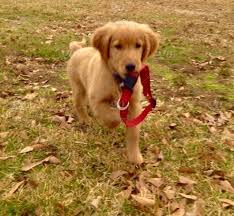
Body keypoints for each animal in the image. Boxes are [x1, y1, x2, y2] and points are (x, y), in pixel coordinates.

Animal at [66, 21, 160, 165]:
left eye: (138, 45)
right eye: (117, 46)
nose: (131, 66)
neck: (120, 80)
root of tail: (78, 50)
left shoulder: (134, 104)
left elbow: (133, 133)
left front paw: (134, 157)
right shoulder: (97, 99)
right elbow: (111, 117)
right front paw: (112, 124)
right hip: (78, 87)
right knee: (79, 104)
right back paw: (85, 119)